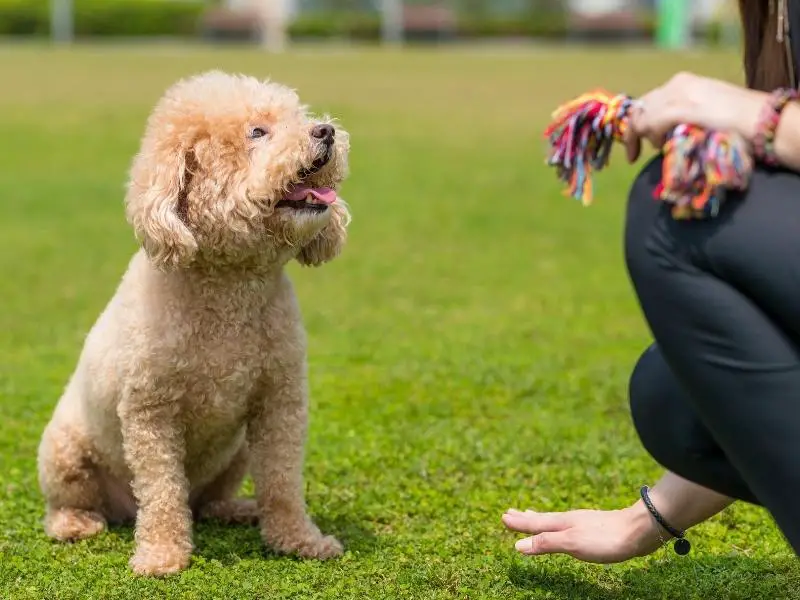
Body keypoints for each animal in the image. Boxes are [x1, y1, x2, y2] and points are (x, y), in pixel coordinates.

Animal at [36, 70, 350, 576]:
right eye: (257, 132)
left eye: (297, 117)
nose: (325, 131)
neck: (230, 285)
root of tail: (123, 510)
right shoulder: (151, 412)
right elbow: (163, 489)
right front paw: (162, 555)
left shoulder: (279, 402)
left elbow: (283, 481)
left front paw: (300, 540)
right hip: (63, 451)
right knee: (74, 501)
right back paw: (75, 524)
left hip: (236, 452)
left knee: (208, 502)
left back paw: (237, 510)